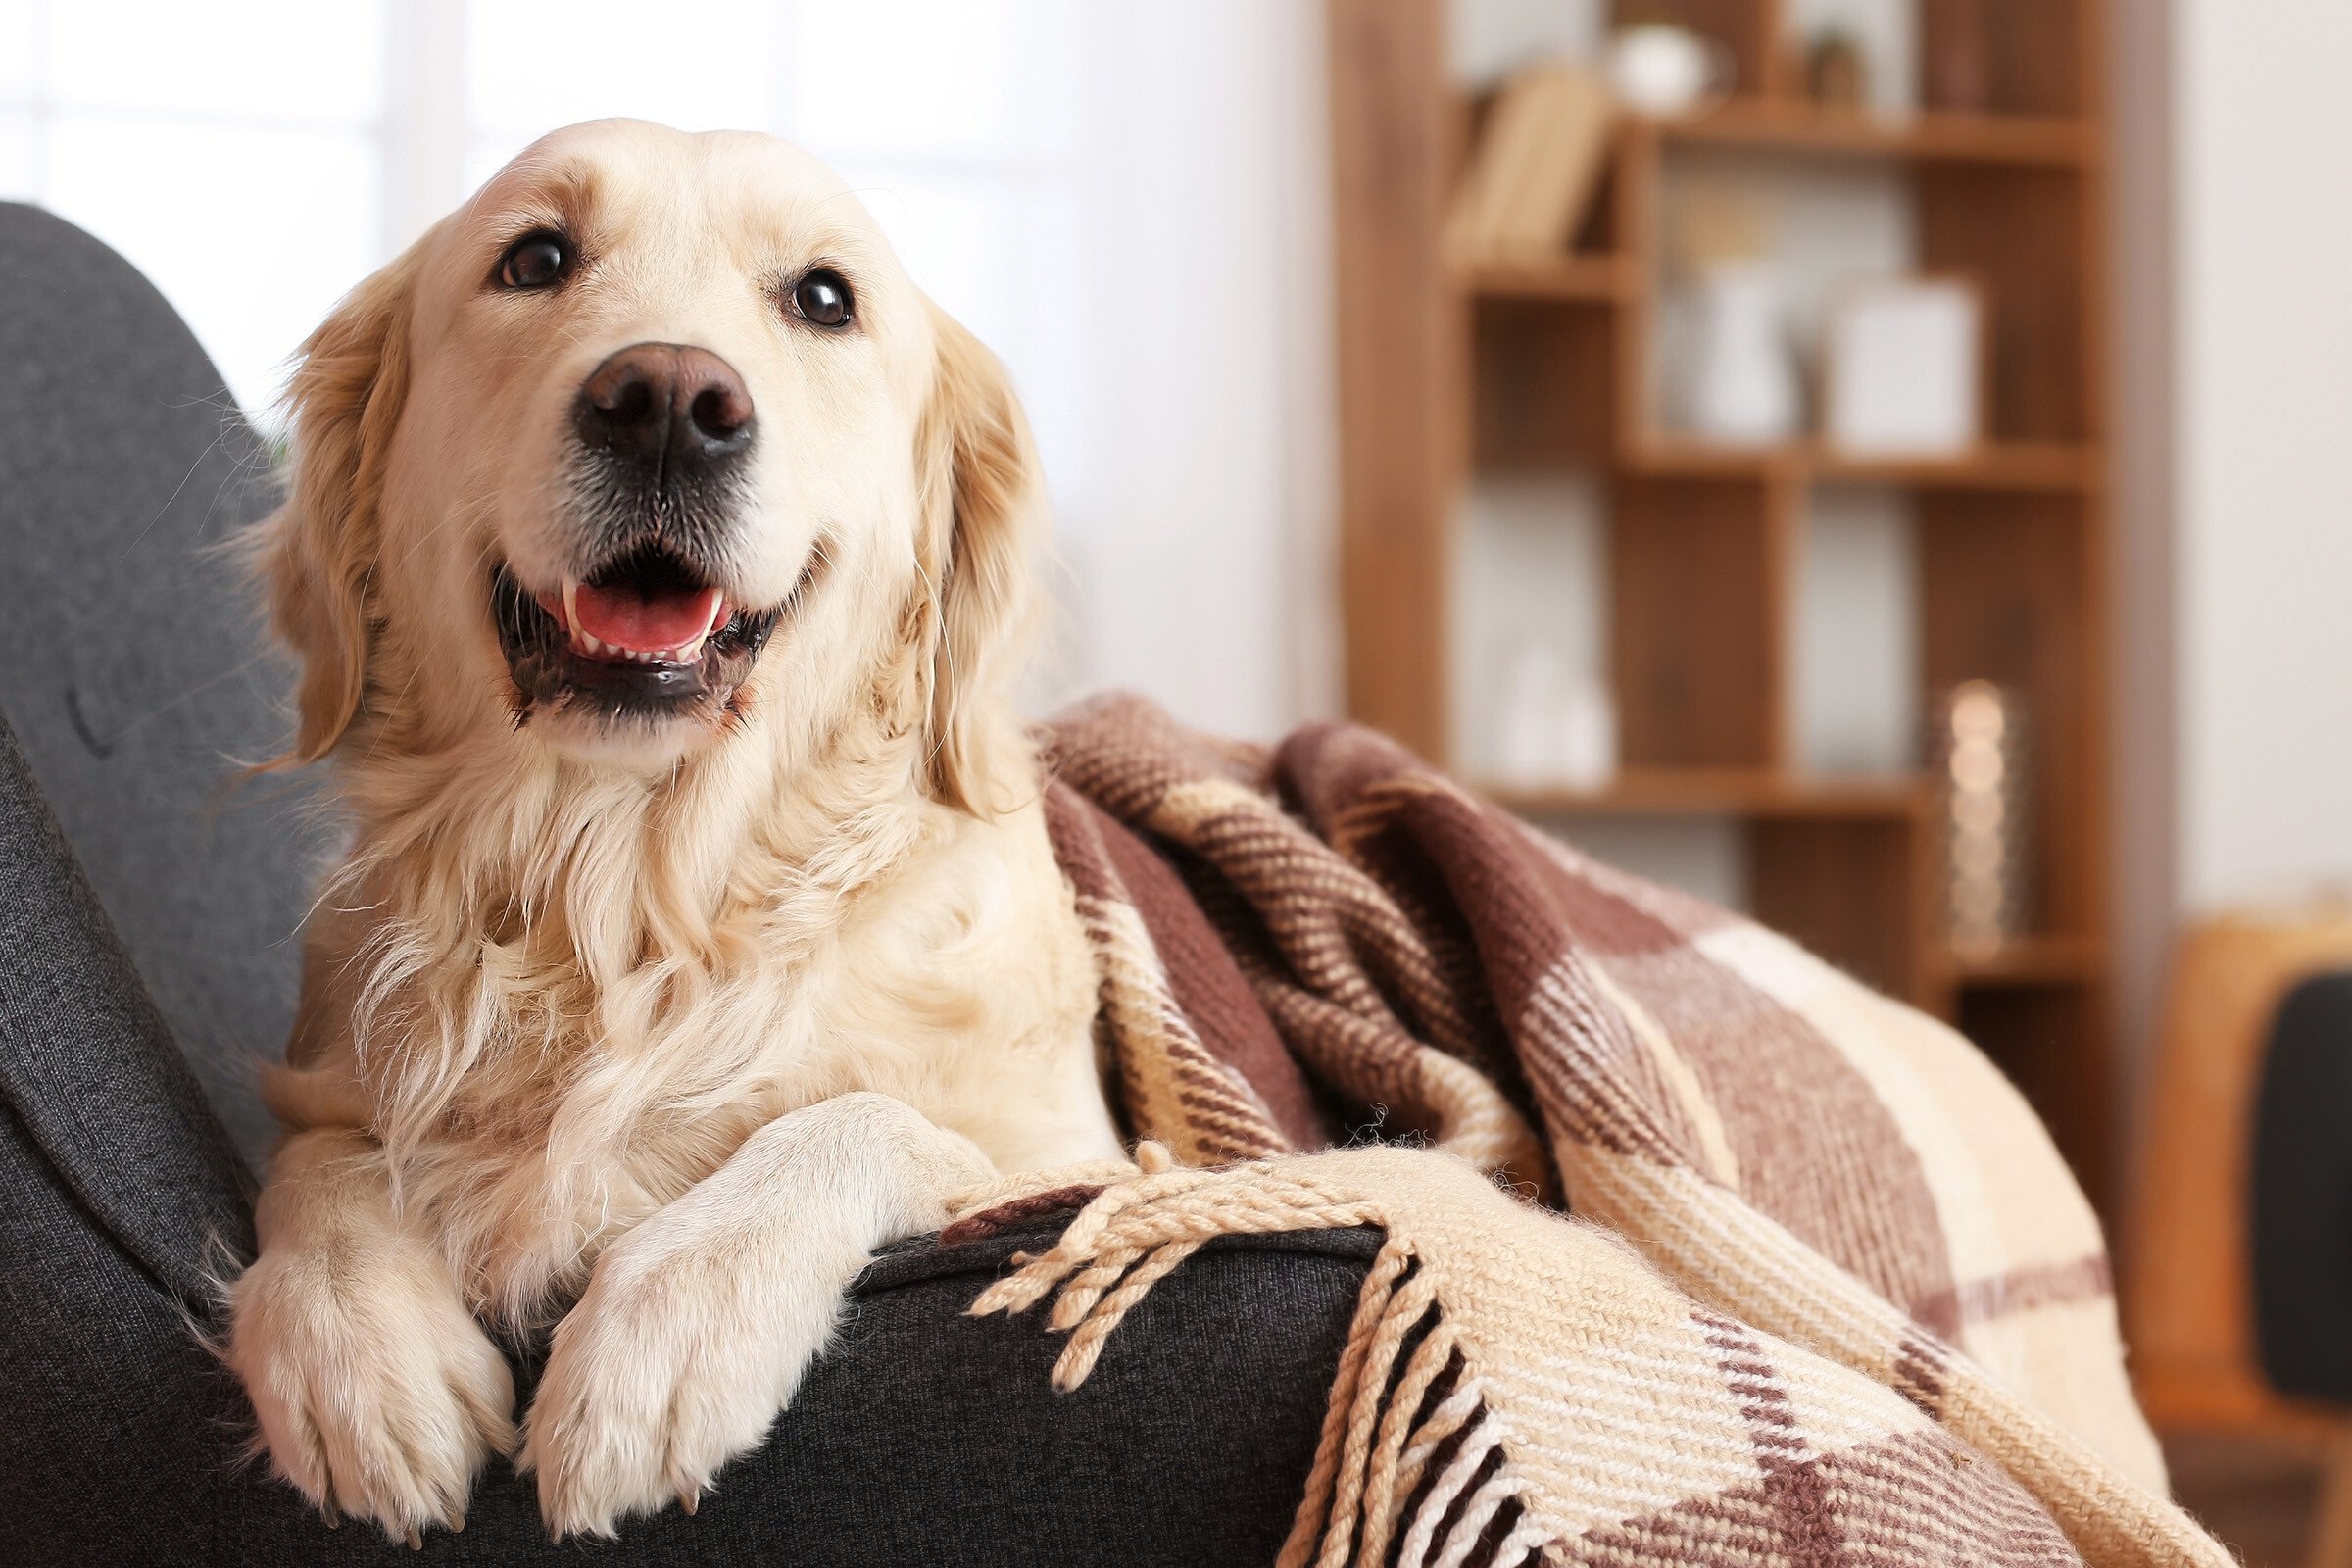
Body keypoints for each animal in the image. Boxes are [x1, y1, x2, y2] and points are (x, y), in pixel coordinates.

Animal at [224, 122, 1124, 1542]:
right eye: (535, 259)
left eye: (824, 296)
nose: (667, 402)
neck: (628, 893)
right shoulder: (334, 1073)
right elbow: (320, 1156)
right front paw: (352, 1342)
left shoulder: (1103, 1165)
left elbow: (867, 1120)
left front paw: (671, 1329)